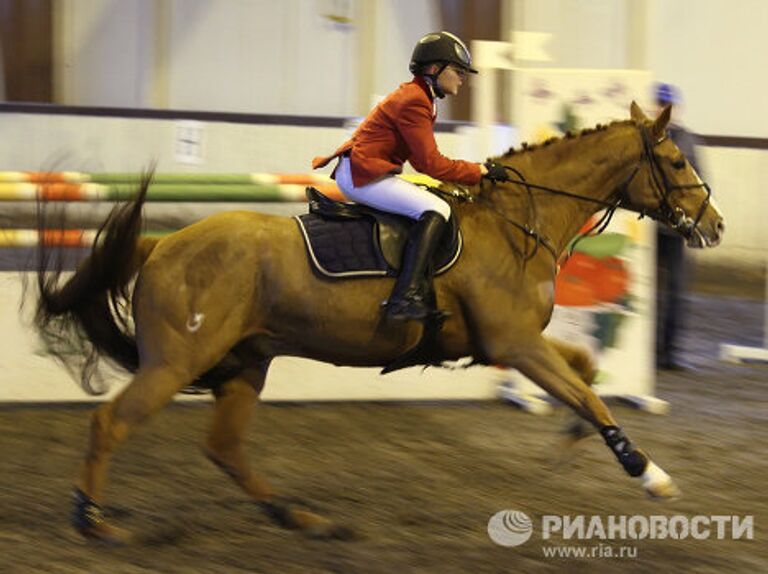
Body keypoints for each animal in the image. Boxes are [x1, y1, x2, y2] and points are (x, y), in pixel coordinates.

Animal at [30, 101, 724, 548]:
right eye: (675, 162)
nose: (713, 226)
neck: (517, 223)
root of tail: (161, 246)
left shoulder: (514, 342)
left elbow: (584, 373)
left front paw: (569, 439)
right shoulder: (515, 343)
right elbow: (587, 392)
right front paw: (651, 476)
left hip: (247, 363)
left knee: (224, 448)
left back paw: (300, 518)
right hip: (179, 362)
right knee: (112, 423)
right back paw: (94, 521)